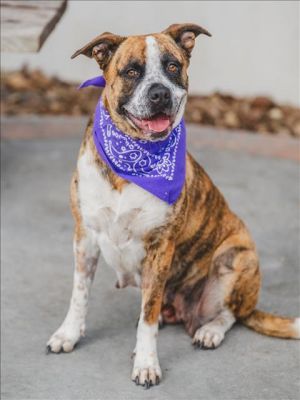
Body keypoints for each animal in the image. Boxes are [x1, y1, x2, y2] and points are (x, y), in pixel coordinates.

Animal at [47, 22, 300, 388]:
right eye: (132, 71)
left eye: (172, 67)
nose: (160, 94)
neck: (133, 160)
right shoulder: (85, 236)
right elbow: (79, 294)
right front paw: (68, 334)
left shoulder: (160, 246)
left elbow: (148, 317)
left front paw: (146, 363)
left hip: (236, 258)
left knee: (230, 314)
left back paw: (209, 331)